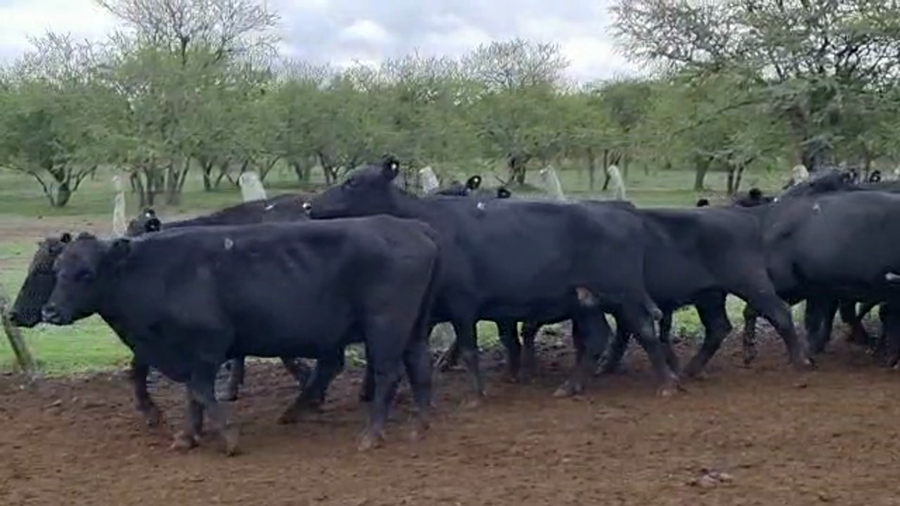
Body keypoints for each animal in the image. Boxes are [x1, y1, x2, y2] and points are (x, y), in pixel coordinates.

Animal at [39, 216, 442, 455]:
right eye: (57, 270)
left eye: (87, 273)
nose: (50, 311)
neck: (160, 272)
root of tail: (415, 229)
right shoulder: (187, 352)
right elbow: (192, 395)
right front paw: (188, 436)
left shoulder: (208, 344)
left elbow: (200, 390)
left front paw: (228, 437)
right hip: (414, 328)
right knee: (419, 365)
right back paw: (419, 426)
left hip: (385, 326)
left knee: (389, 374)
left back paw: (371, 435)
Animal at [309, 156, 678, 399]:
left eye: (352, 182)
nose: (310, 206)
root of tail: (624, 215)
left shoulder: (462, 302)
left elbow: (469, 348)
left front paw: (478, 393)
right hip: (585, 298)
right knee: (599, 337)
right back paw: (572, 386)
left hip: (622, 292)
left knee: (642, 329)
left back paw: (666, 384)